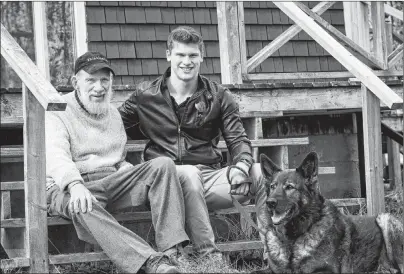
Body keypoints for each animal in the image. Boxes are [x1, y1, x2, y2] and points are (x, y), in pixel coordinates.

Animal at [258, 152, 402, 274]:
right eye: (272, 187)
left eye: (289, 187)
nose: (269, 203)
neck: (292, 239)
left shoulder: (326, 270)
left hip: (384, 218)